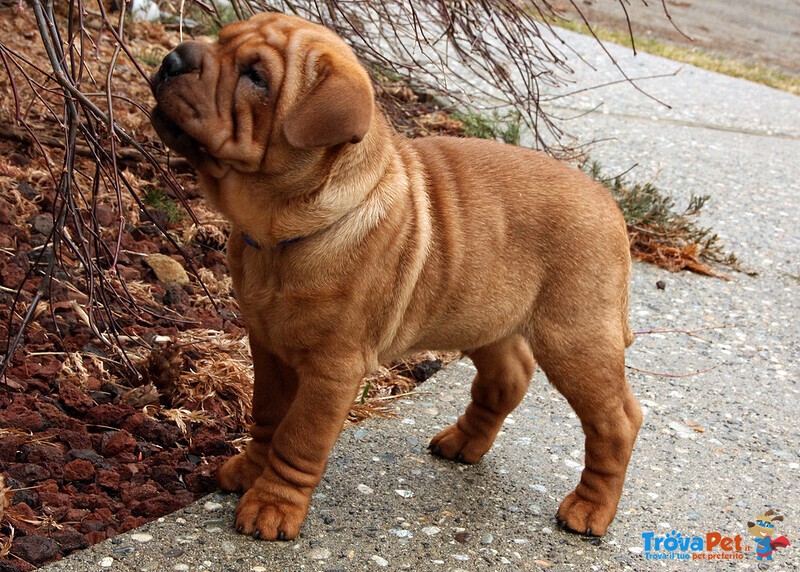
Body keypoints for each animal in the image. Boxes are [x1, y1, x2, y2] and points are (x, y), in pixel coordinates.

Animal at [150, 12, 644, 540]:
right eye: (220, 41)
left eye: (256, 77)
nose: (173, 59)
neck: (280, 233)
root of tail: (610, 204)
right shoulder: (267, 343)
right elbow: (267, 415)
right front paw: (248, 470)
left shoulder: (333, 367)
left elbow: (298, 437)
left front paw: (272, 505)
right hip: (483, 314)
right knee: (508, 377)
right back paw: (463, 444)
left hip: (575, 339)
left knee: (618, 421)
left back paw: (590, 509)